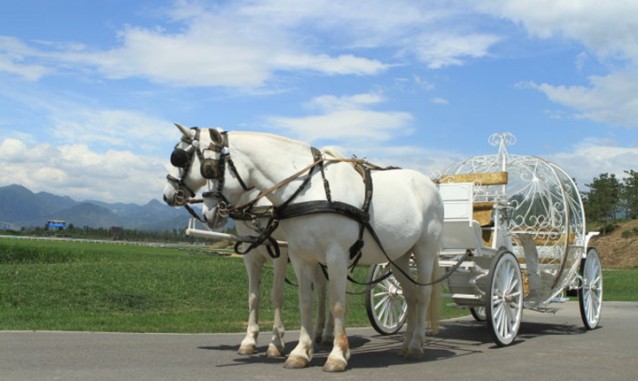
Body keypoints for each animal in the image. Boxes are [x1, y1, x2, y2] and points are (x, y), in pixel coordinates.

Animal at [165, 125, 444, 372]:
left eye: (207, 168)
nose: (209, 213)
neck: (308, 190)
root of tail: (430, 184)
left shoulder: (328, 254)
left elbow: (334, 303)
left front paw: (335, 355)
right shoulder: (296, 256)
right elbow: (302, 301)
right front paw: (299, 352)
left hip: (424, 251)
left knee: (423, 294)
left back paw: (416, 345)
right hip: (398, 256)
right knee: (408, 294)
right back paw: (404, 344)